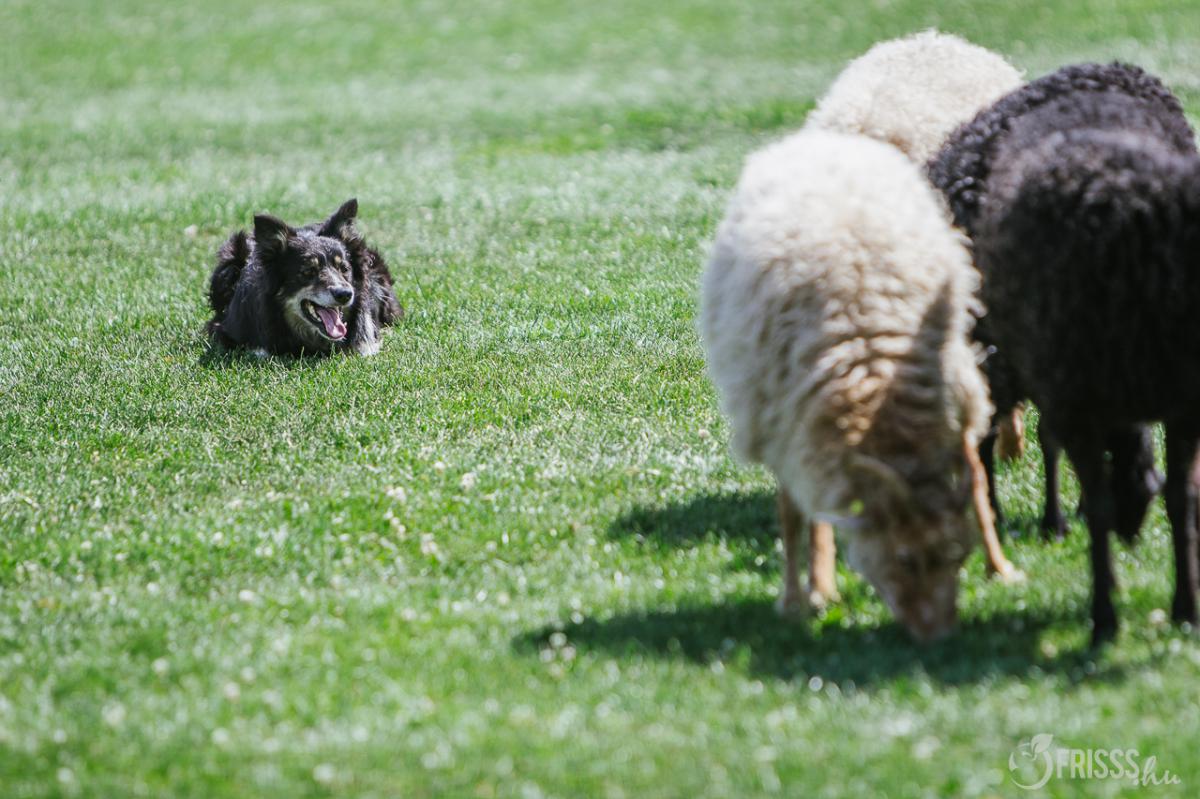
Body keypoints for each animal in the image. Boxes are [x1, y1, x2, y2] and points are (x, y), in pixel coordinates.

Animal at [701, 129, 1017, 642]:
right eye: (904, 559)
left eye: (958, 556)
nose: (938, 639)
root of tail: (823, 138)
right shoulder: (781, 418)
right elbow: (793, 515)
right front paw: (796, 599)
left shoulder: (956, 396)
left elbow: (975, 485)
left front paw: (1000, 568)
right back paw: (820, 585)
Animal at [971, 75, 1200, 644]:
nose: (1132, 533)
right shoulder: (1074, 403)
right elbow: (1097, 505)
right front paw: (1104, 618)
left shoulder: (1184, 408)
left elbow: (1182, 499)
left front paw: (1186, 608)